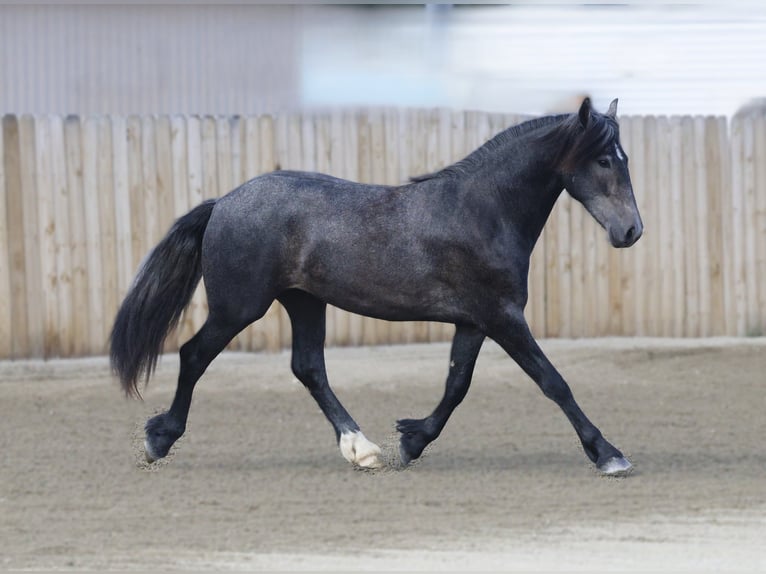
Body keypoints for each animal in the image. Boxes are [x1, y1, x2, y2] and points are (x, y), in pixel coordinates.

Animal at [110, 98, 643, 476]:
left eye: (624, 158)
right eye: (602, 161)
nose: (631, 231)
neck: (482, 212)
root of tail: (222, 203)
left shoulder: (474, 321)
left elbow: (456, 385)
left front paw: (410, 441)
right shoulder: (503, 317)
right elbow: (553, 381)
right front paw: (608, 454)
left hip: (304, 302)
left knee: (308, 368)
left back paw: (361, 449)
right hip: (239, 307)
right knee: (194, 354)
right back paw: (159, 440)